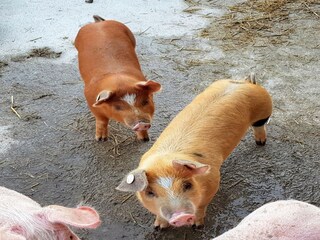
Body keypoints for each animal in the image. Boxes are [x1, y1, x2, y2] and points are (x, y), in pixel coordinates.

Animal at [117, 75, 272, 229]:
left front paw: (197, 226)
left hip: (264, 110)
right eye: (150, 192)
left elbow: (201, 206)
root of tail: (245, 82)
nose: (180, 216)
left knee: (260, 126)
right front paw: (158, 227)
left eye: (187, 185)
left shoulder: (214, 180)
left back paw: (260, 143)